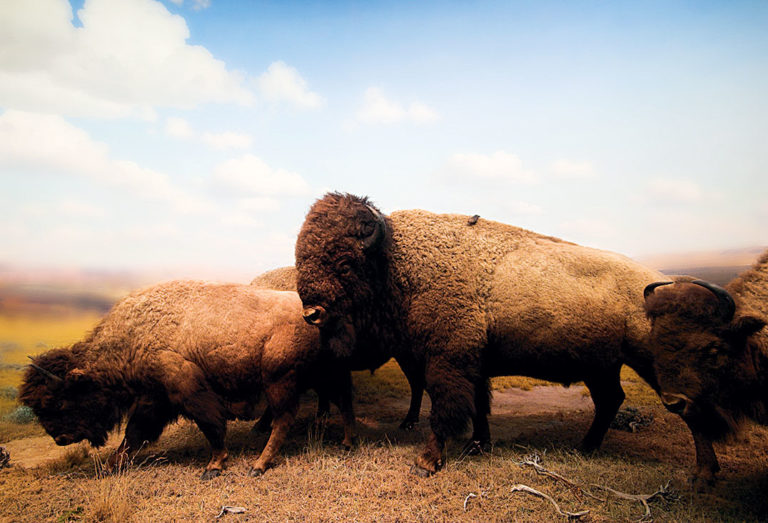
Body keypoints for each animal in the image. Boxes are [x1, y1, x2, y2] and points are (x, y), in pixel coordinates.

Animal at [21, 280, 354, 479]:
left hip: (279, 380)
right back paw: (347, 442)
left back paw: (259, 465)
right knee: (343, 402)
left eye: (58, 402)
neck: (135, 335)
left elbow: (211, 426)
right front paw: (112, 465)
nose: (59, 438)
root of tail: (316, 314)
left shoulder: (187, 391)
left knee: (285, 419)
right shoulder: (154, 397)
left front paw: (214, 465)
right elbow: (134, 433)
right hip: (322, 375)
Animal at [295, 192, 672, 476]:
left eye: (345, 264)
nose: (312, 314)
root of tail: (657, 280)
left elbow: (445, 408)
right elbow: (478, 405)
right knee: (610, 400)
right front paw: (478, 444)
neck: (397, 263)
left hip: (640, 363)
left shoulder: (448, 362)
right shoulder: (471, 363)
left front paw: (427, 462)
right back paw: (586, 447)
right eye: (302, 258)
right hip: (601, 367)